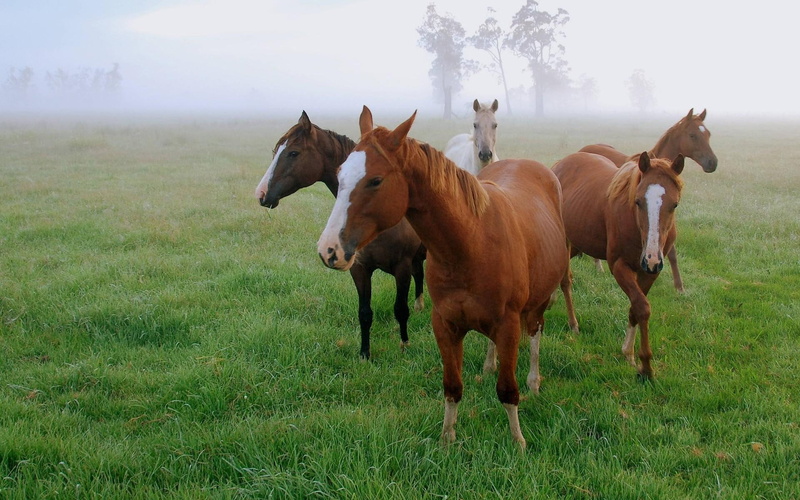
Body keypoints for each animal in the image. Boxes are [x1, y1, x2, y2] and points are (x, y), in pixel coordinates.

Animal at [254, 110, 426, 360]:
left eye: (293, 153)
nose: (261, 194)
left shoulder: (401, 268)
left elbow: (400, 309)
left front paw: (405, 345)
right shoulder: (359, 269)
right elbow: (365, 313)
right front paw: (364, 354)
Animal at [317, 106, 575, 448]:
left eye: (375, 180)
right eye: (339, 175)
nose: (329, 249)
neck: (470, 243)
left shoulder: (508, 324)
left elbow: (508, 390)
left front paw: (518, 441)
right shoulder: (445, 324)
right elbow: (452, 386)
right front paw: (447, 439)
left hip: (540, 299)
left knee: (535, 332)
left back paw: (533, 380)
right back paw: (489, 364)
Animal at [553, 151, 684, 380]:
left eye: (674, 204)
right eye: (638, 201)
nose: (651, 258)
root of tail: (560, 164)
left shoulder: (649, 273)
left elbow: (635, 307)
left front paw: (628, 354)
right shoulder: (619, 267)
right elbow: (642, 307)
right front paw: (645, 366)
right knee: (565, 280)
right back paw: (573, 323)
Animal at [579, 108, 717, 291]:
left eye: (708, 134)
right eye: (693, 135)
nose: (712, 163)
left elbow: (671, 253)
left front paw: (679, 287)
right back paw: (598, 266)